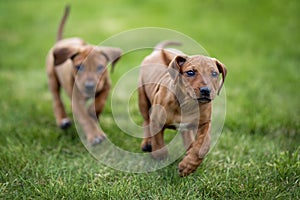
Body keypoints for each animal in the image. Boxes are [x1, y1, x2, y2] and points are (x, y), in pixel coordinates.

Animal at [46, 5, 121, 145]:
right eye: (78, 67)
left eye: (100, 67)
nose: (90, 86)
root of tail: (61, 41)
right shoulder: (76, 101)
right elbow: (85, 118)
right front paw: (95, 135)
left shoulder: (106, 86)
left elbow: (100, 102)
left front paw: (92, 111)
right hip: (52, 77)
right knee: (56, 99)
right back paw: (62, 119)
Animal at [138, 41, 227, 177]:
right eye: (190, 72)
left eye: (214, 74)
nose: (206, 90)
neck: (188, 103)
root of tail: (157, 51)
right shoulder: (157, 120)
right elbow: (159, 144)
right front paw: (159, 156)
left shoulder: (205, 123)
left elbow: (203, 146)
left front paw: (188, 165)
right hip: (142, 98)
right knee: (146, 120)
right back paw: (147, 143)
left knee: (187, 135)